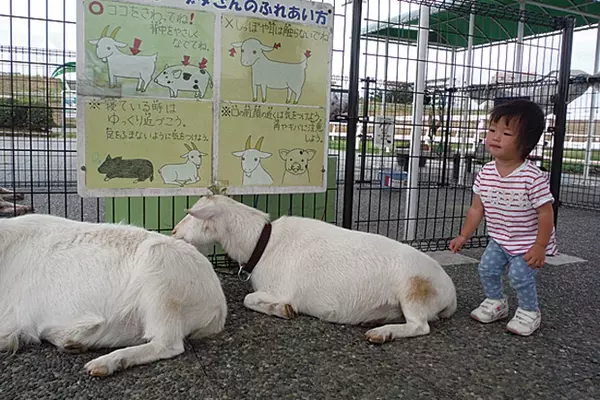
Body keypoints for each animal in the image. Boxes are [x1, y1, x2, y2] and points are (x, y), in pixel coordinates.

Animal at [171, 195, 458, 342]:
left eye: (192, 214)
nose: (173, 231)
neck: (264, 242)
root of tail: (450, 293)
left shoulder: (281, 289)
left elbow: (249, 299)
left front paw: (284, 310)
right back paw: (377, 319)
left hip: (414, 291)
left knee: (420, 326)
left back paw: (381, 333)